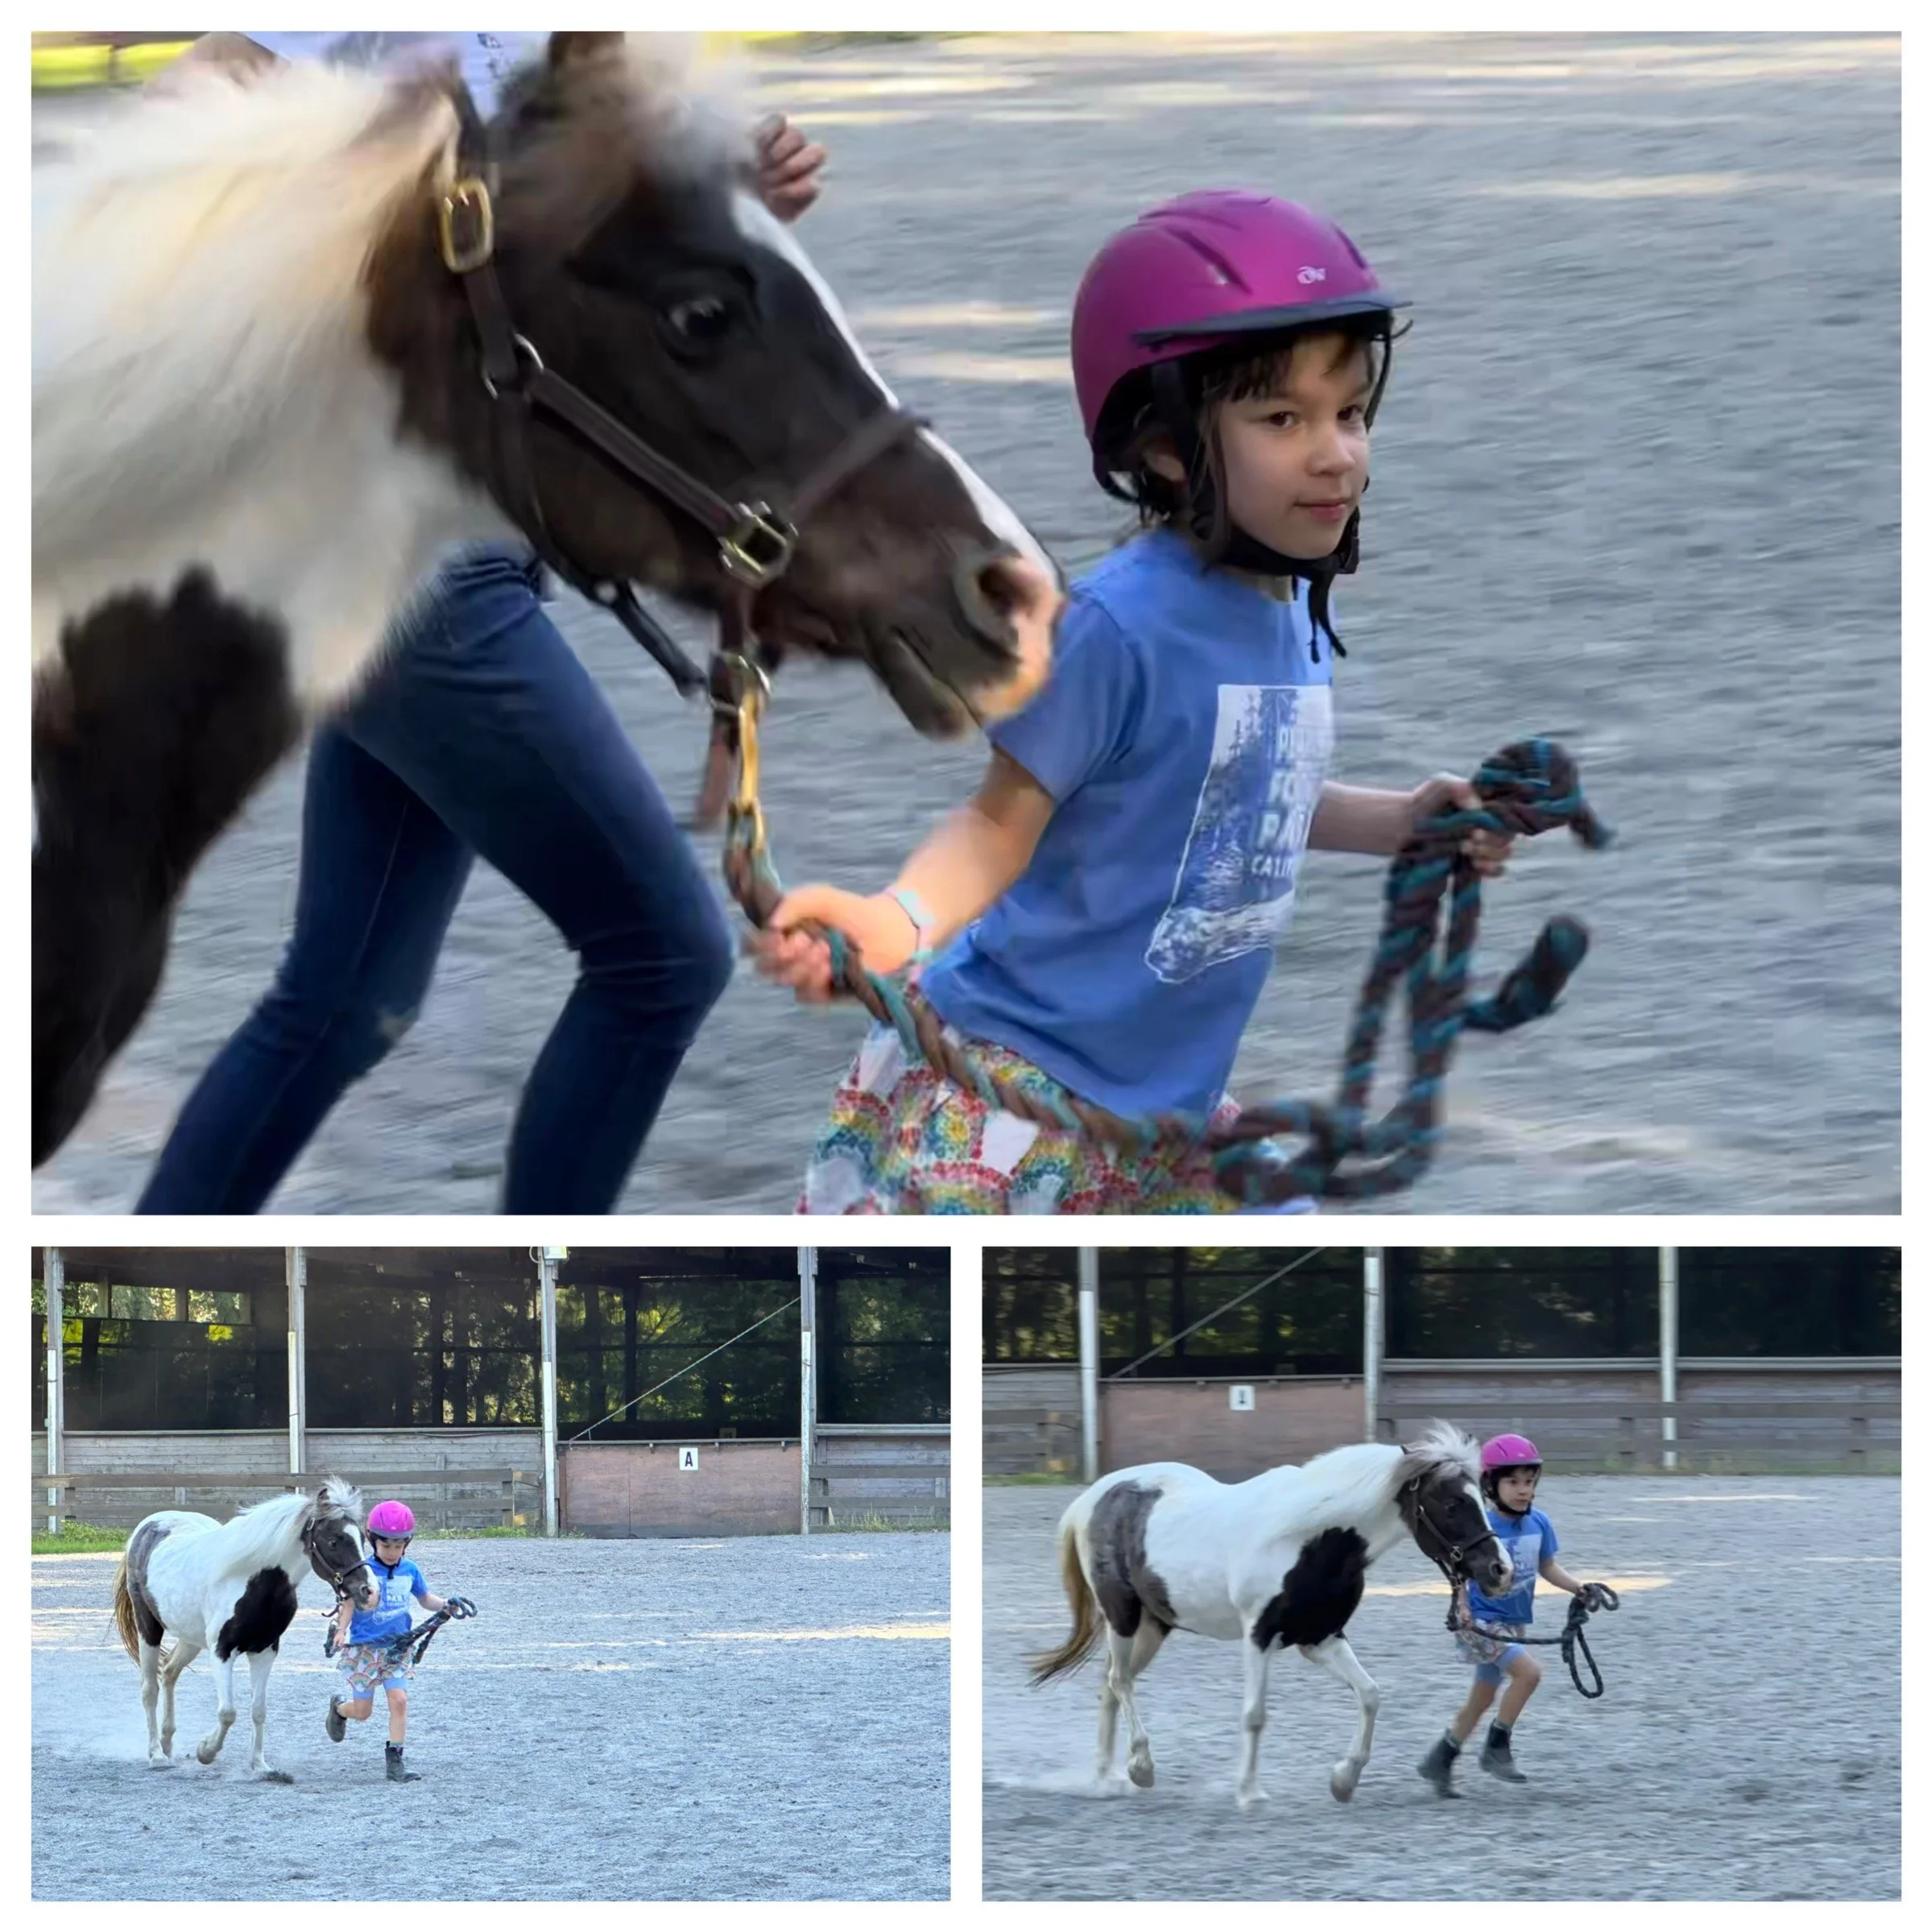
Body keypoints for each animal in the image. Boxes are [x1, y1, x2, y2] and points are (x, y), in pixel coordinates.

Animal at [111, 1478, 376, 1780]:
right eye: (333, 1541)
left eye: (362, 1539)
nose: (369, 1591)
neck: (251, 1581)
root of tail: (148, 1527)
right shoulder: (222, 1652)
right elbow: (228, 1712)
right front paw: (205, 1751)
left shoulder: (265, 1650)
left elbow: (258, 1710)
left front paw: (260, 1766)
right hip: (149, 1629)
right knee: (149, 1689)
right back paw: (156, 1754)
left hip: (191, 1637)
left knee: (168, 1672)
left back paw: (167, 1744)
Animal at [1029, 1420, 1513, 1808]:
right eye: (1452, 1504)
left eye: (1481, 1498)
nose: (1500, 1570)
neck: (1309, 1539)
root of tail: (1095, 1497)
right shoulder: (1258, 1636)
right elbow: (1255, 1715)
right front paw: (1249, 1793)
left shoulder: (1321, 1637)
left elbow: (1370, 1695)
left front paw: (1343, 1781)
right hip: (1123, 1617)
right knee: (1120, 1681)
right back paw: (1141, 1768)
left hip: (1153, 1626)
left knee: (1111, 1685)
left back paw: (1107, 1776)